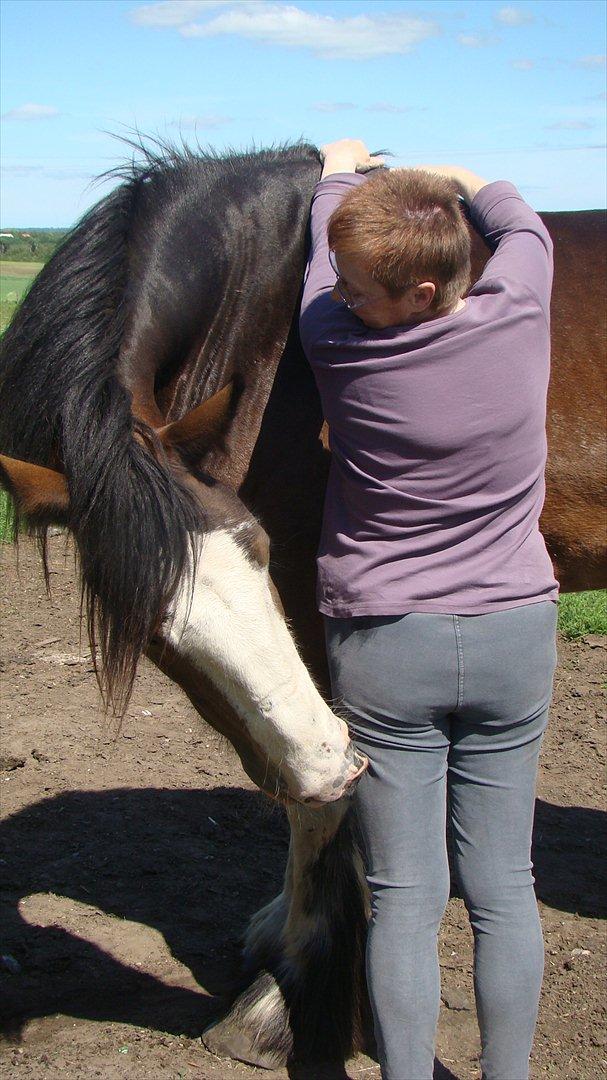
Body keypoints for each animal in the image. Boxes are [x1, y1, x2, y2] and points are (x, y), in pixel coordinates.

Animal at [0, 139, 600, 1067]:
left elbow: (321, 810)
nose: (326, 757)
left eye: (259, 550)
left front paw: (281, 1004)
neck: (264, 309)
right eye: (159, 634)